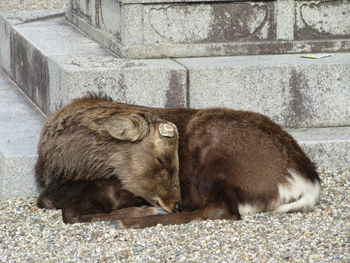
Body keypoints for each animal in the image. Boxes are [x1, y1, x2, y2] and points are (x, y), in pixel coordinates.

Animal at [34, 94, 320, 228]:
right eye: (161, 159)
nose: (176, 203)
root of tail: (306, 179)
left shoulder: (111, 189)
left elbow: (70, 214)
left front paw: (139, 213)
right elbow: (59, 208)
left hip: (215, 159)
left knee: (220, 210)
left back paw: (132, 222)